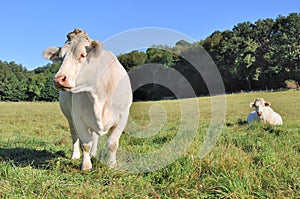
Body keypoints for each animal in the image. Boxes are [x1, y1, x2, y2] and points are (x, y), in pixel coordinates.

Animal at [42, 28, 132, 170]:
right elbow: (85, 144)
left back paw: (94, 154)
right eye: (61, 58)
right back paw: (75, 155)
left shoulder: (122, 117)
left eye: (83, 54)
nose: (59, 79)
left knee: (94, 136)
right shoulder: (79, 117)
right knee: (74, 135)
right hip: (70, 117)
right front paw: (86, 166)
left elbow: (112, 143)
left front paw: (112, 165)